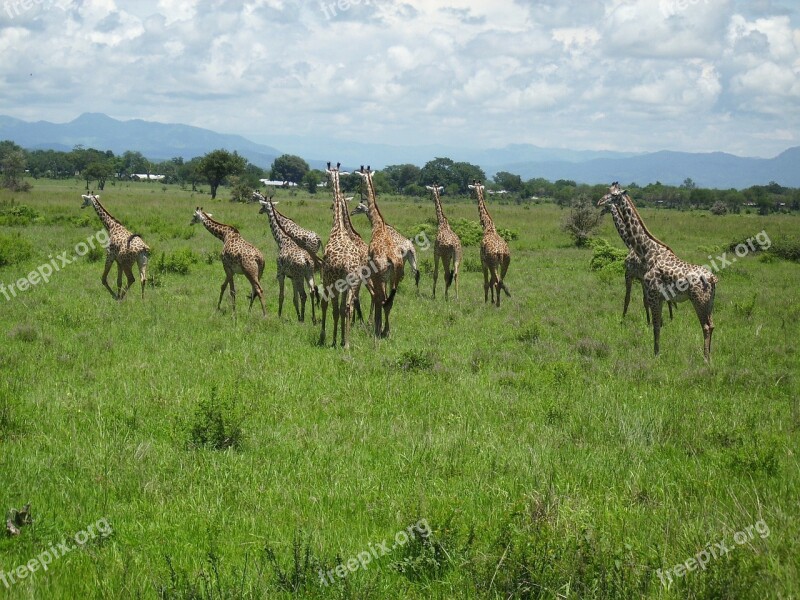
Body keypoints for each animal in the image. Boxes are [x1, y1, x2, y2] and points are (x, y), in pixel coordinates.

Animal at [354, 166, 406, 340]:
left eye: (361, 179)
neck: (378, 225)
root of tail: (392, 260)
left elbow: (376, 298)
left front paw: (374, 325)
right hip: (396, 277)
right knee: (389, 302)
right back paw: (385, 331)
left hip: (380, 276)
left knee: (381, 299)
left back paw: (378, 329)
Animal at [468, 180, 512, 308]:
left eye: (472, 190)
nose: (470, 196)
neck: (488, 227)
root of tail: (501, 252)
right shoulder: (494, 264)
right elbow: (491, 282)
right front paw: (491, 300)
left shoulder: (483, 261)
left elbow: (486, 282)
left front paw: (487, 301)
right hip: (505, 263)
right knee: (499, 281)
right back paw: (499, 301)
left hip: (493, 264)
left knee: (496, 282)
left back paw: (497, 304)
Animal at [596, 183, 716, 360]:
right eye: (607, 192)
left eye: (614, 195)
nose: (599, 202)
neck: (646, 250)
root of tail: (712, 278)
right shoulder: (657, 295)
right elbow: (656, 322)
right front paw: (656, 351)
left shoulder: (644, 286)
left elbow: (654, 322)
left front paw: (655, 354)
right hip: (709, 302)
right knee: (712, 325)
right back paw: (709, 356)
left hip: (698, 300)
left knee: (706, 326)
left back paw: (705, 359)